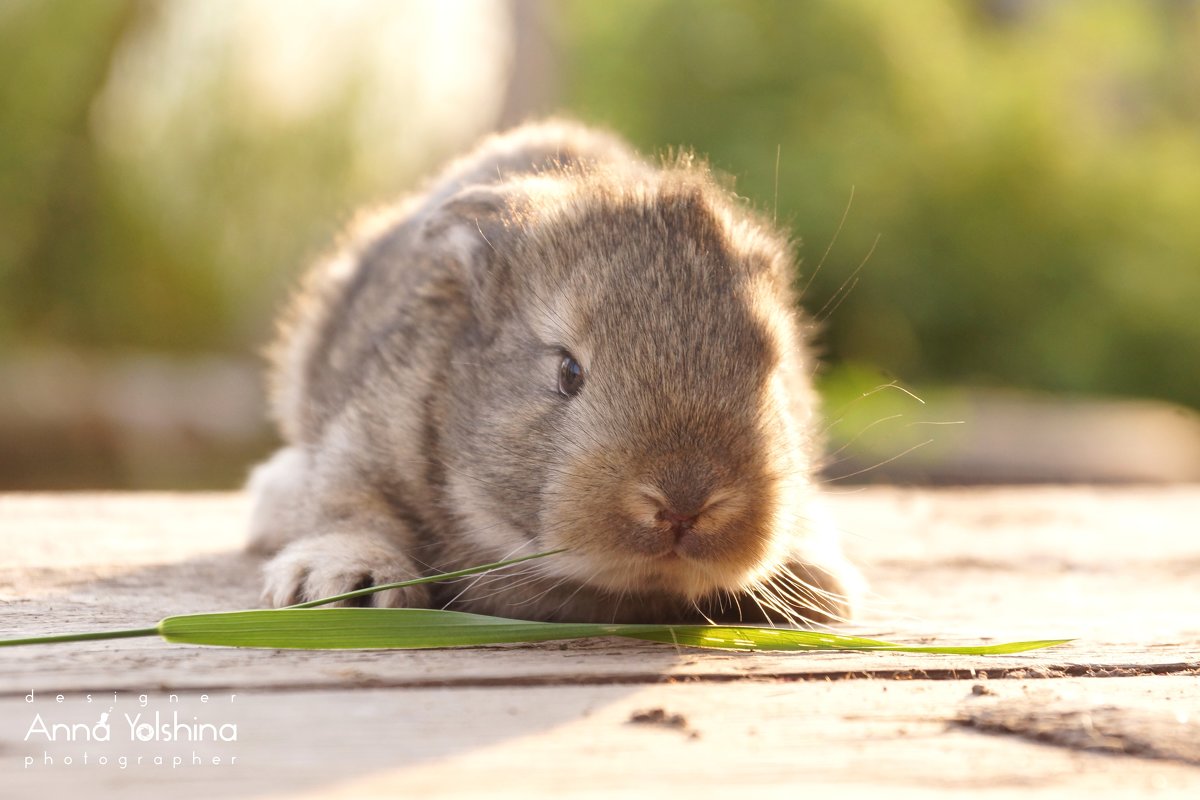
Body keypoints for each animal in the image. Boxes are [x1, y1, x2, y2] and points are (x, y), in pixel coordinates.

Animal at [246, 120, 864, 623]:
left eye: (771, 369)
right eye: (568, 372)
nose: (684, 505)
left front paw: (820, 584)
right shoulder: (369, 438)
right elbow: (351, 506)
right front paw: (343, 581)